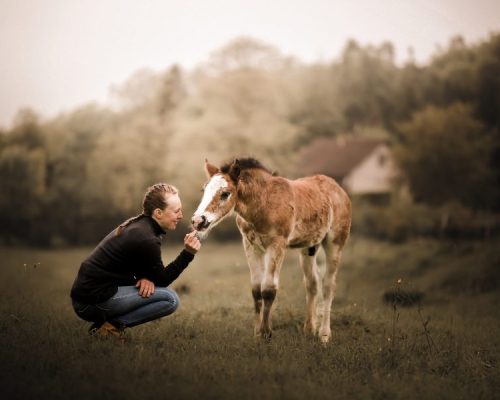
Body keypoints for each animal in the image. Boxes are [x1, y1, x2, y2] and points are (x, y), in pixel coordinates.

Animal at [191, 158, 352, 342]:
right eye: (204, 190)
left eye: (225, 193)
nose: (198, 221)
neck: (263, 203)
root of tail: (338, 188)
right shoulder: (250, 245)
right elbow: (256, 290)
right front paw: (257, 334)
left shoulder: (276, 245)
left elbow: (268, 289)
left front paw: (266, 333)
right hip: (308, 247)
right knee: (312, 283)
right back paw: (309, 329)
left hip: (335, 242)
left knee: (328, 285)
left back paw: (324, 335)